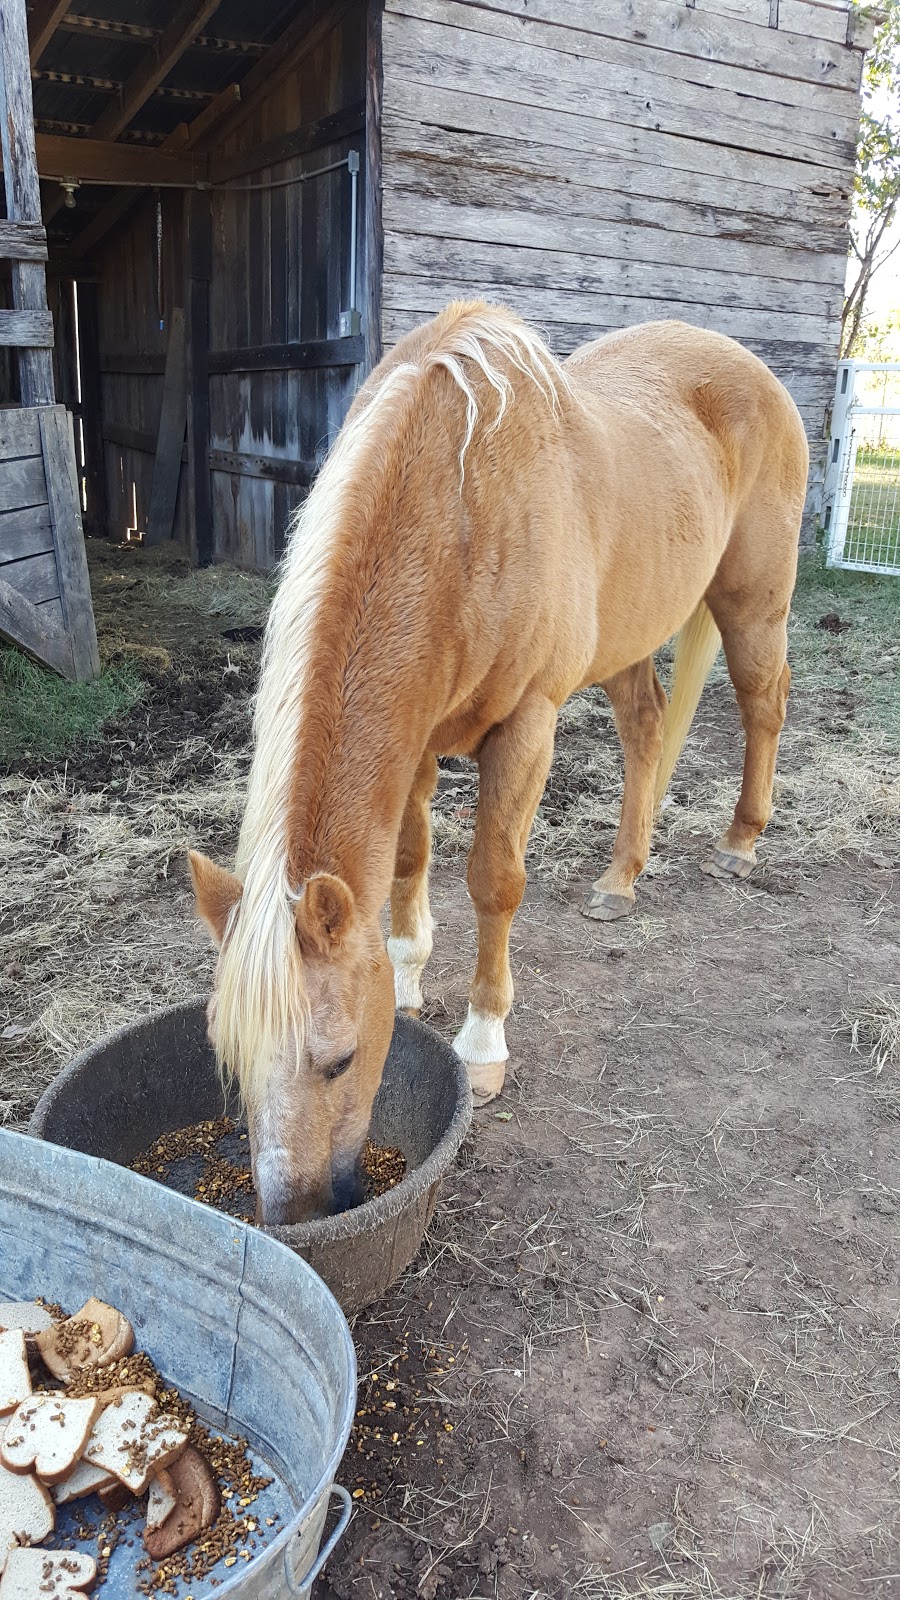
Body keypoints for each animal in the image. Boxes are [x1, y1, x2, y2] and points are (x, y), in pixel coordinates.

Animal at [188, 300, 807, 1222]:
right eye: (227, 1060)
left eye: (339, 1060)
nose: (296, 1218)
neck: (462, 507)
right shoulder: (417, 738)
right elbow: (408, 860)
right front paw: (408, 976)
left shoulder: (526, 724)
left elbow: (493, 880)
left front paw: (482, 1046)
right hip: (630, 635)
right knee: (645, 728)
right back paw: (620, 880)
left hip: (753, 605)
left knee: (764, 705)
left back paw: (739, 843)